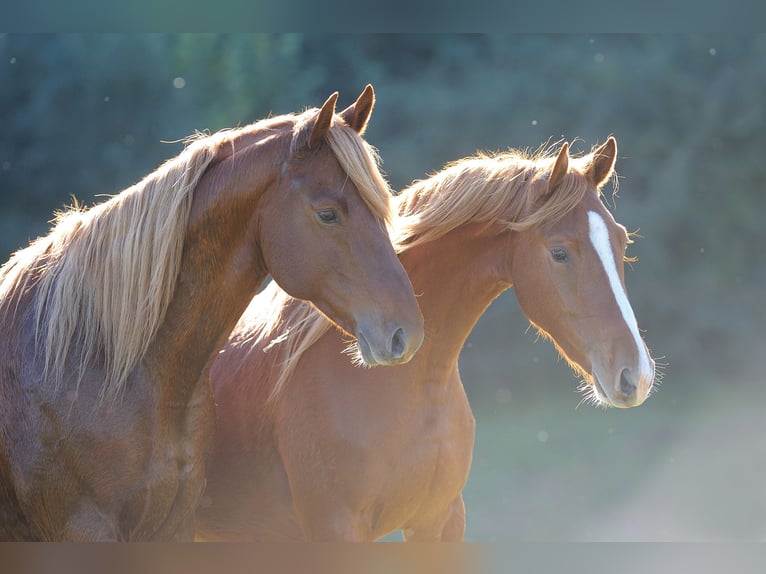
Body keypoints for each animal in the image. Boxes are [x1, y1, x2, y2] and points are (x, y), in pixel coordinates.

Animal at [198, 137, 660, 544]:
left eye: (621, 241)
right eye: (560, 252)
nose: (636, 376)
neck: (415, 384)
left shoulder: (440, 520)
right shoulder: (337, 530)